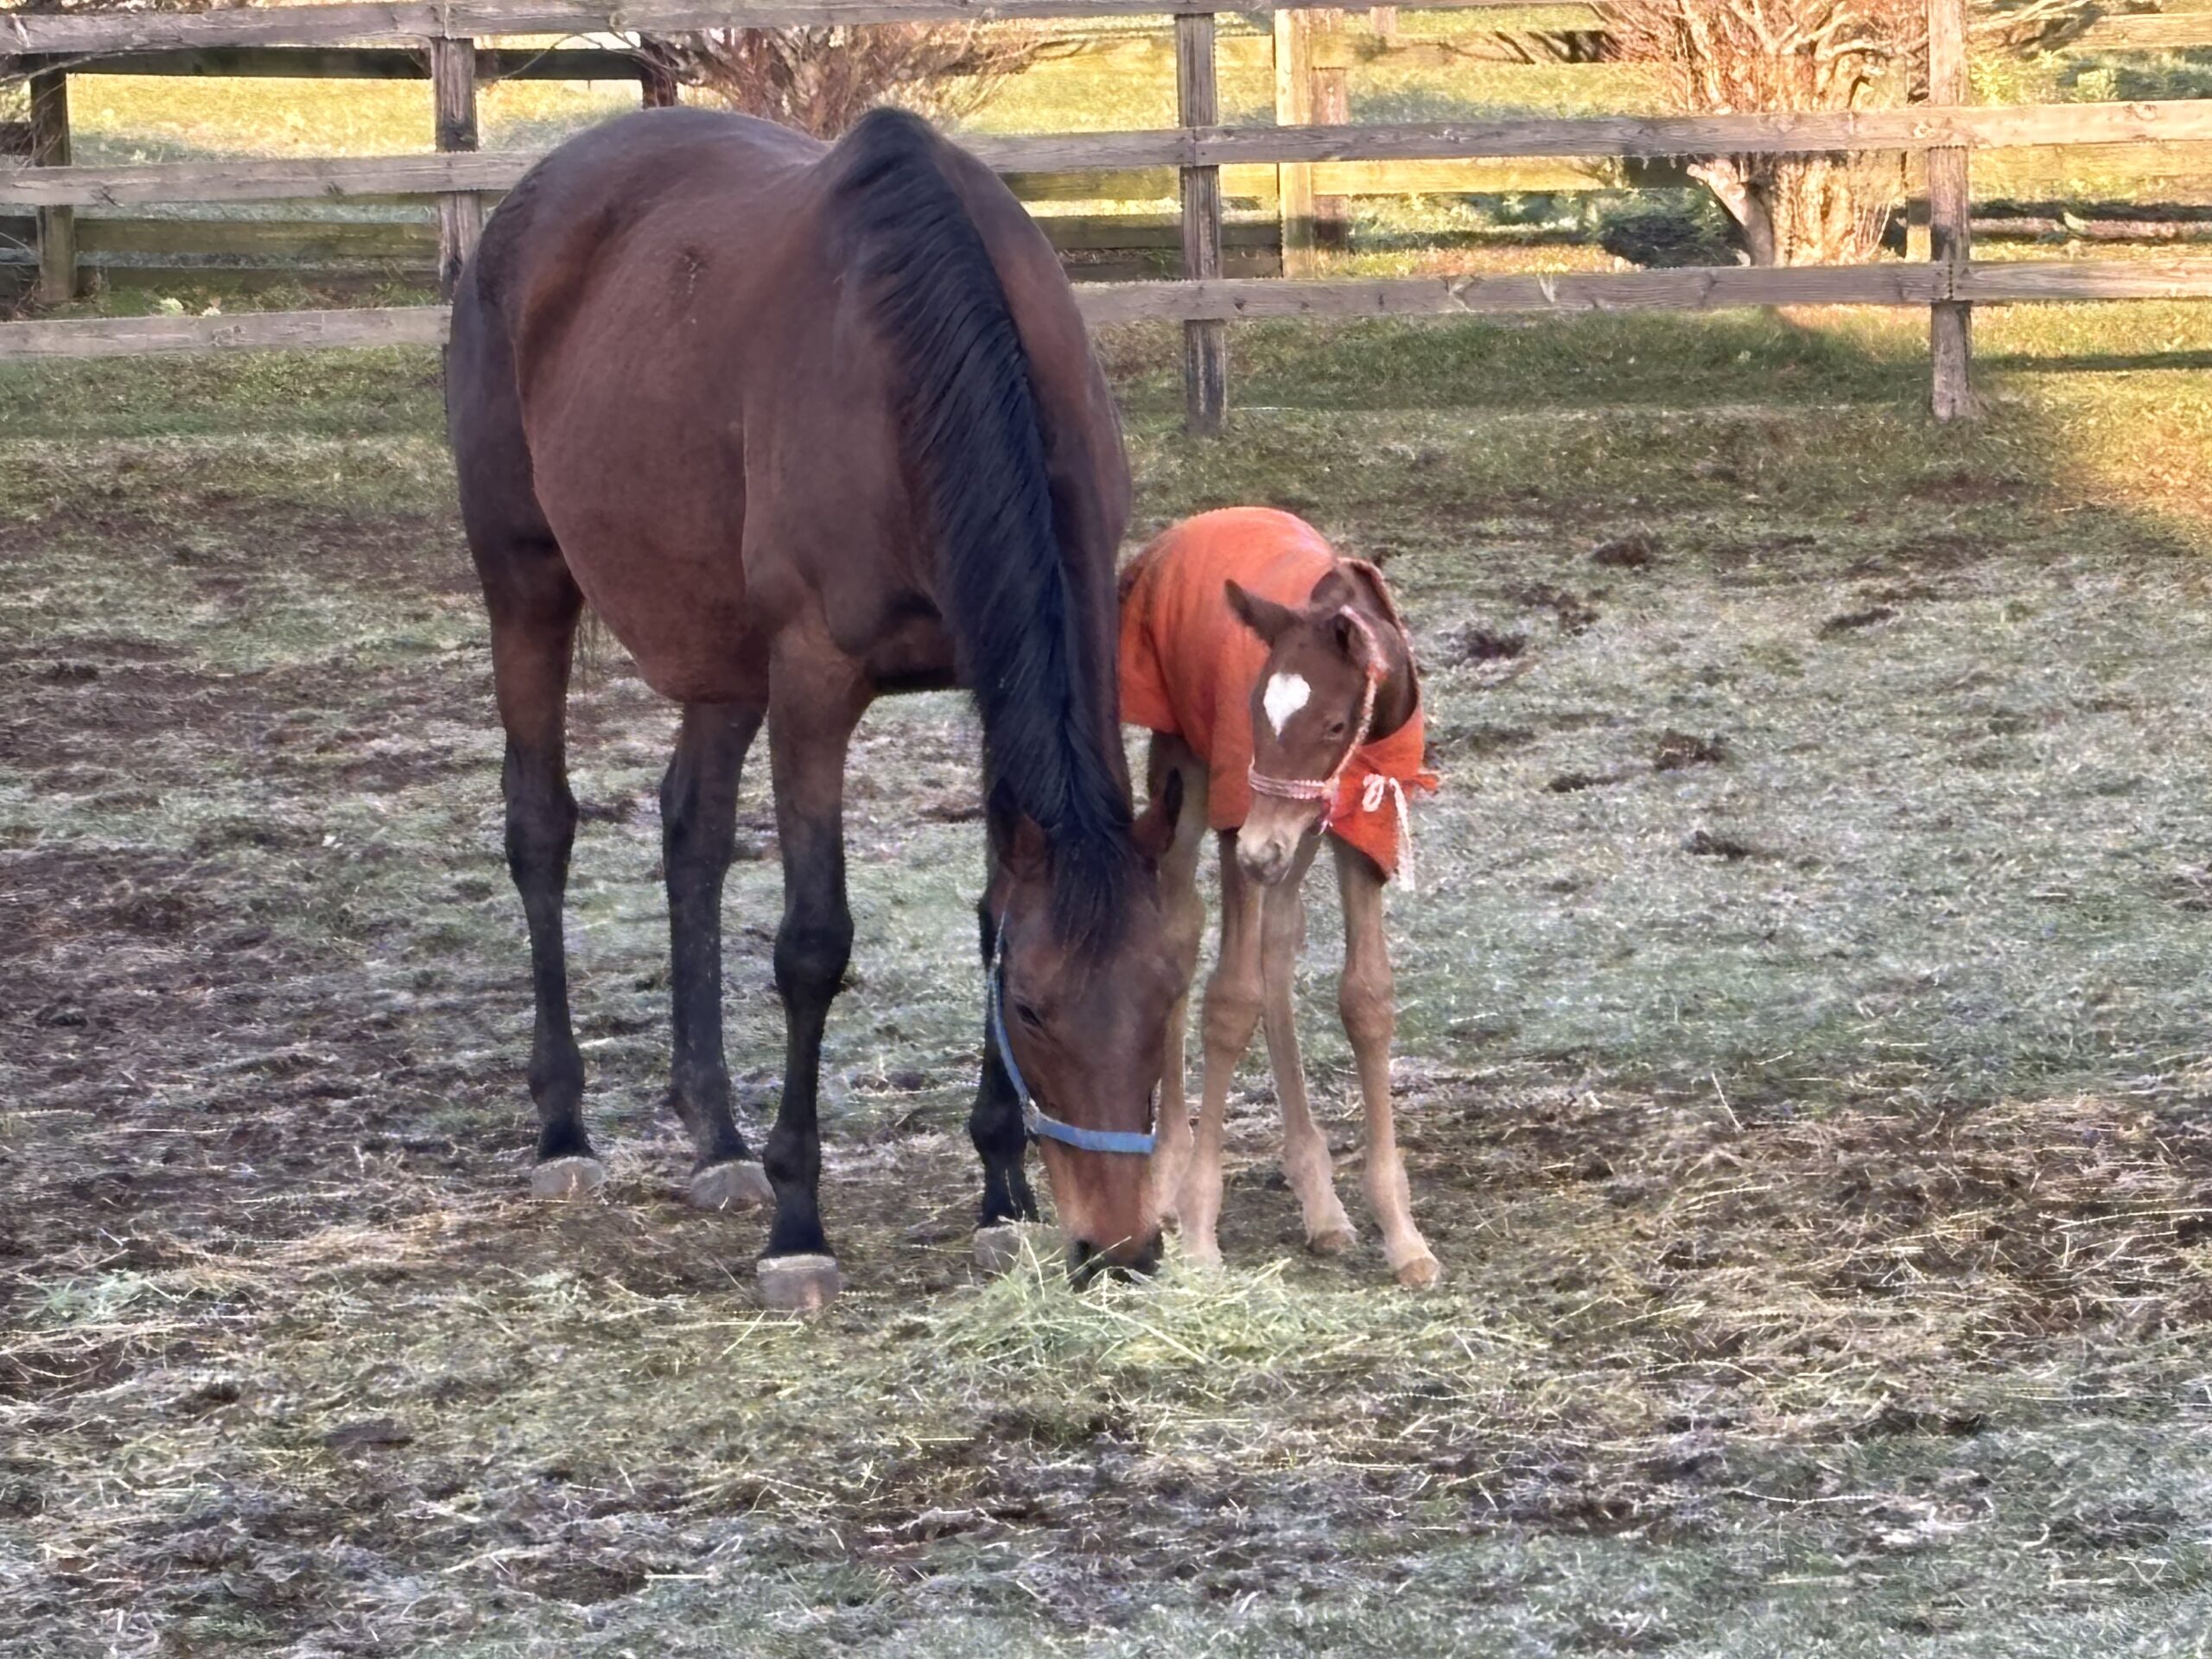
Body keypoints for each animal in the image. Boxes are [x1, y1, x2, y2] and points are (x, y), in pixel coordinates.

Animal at [445, 106, 1187, 1310]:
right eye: (1031, 1009)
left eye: (1167, 993)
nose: (1120, 1247)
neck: (915, 368)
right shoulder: (812, 683)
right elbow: (812, 943)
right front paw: (800, 1226)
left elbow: (989, 908)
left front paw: (1000, 1195)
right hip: (527, 585)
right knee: (539, 827)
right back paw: (566, 1131)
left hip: (715, 646)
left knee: (691, 833)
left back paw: (717, 1137)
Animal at [1119, 508, 1443, 1287]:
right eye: (1253, 713)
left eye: (1334, 725)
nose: (1261, 850)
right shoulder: (1241, 809)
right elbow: (1230, 999)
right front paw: (1199, 1231)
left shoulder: (1363, 826)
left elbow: (1366, 1000)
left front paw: (1403, 1236)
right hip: (1185, 766)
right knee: (1180, 929)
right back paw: (1166, 1178)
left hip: (1299, 832)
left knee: (1278, 941)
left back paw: (1320, 1202)